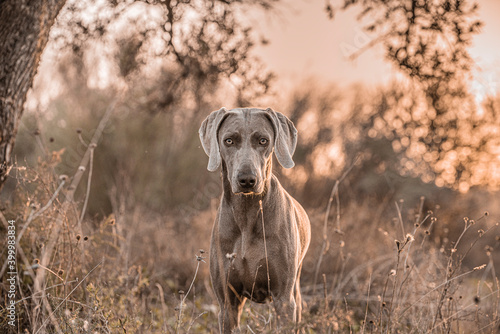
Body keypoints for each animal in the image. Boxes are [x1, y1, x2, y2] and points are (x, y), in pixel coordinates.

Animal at [198, 108, 308, 332]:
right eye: (229, 140)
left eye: (263, 140)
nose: (247, 180)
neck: (247, 215)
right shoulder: (228, 302)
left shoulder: (284, 299)